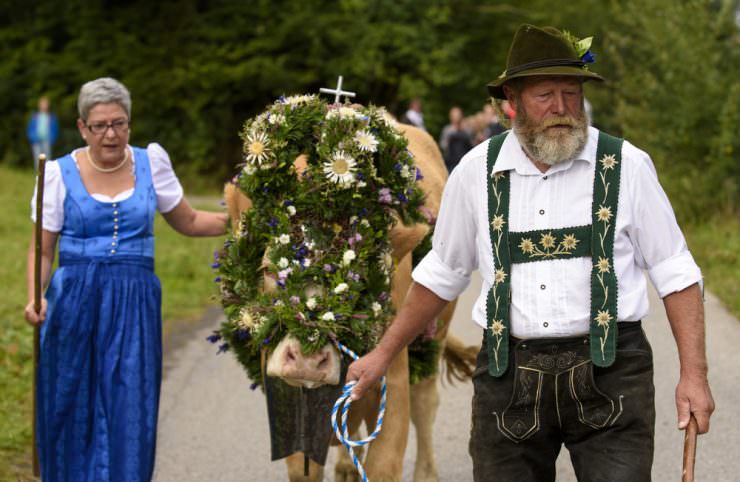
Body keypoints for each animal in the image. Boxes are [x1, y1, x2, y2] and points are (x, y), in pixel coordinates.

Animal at [221, 117, 474, 482]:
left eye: (360, 276)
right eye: (268, 269)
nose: (308, 361)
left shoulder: (392, 381)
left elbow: (383, 464)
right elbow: (304, 469)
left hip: (435, 332)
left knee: (425, 404)